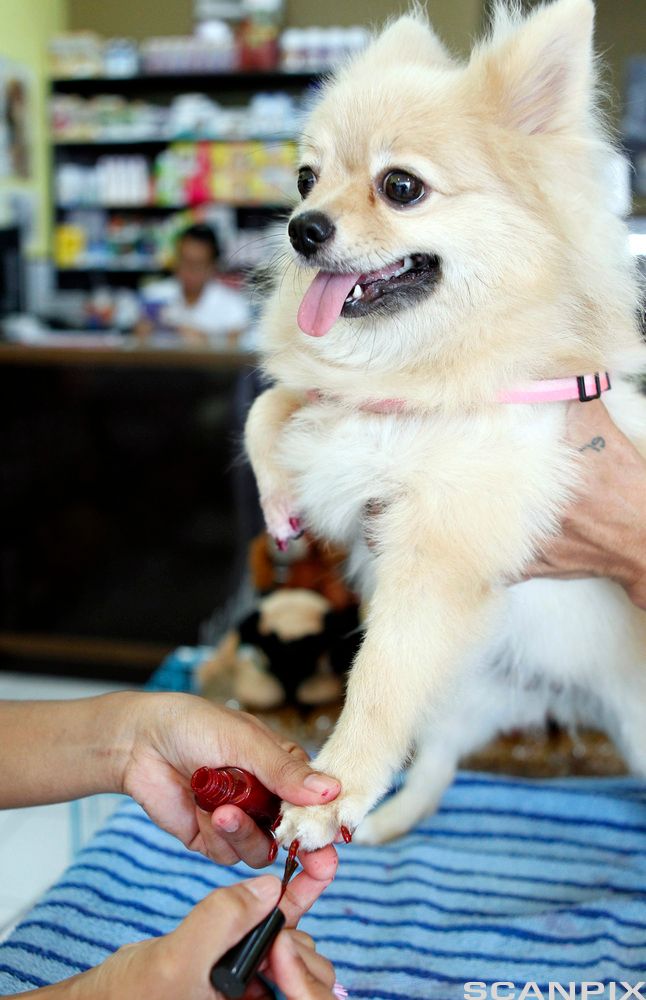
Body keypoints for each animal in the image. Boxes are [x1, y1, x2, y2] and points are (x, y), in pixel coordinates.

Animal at [245, 0, 646, 850]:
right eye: (305, 178)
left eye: (401, 187)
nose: (301, 227)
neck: (415, 371)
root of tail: (553, 700)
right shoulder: (340, 417)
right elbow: (270, 405)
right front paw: (278, 504)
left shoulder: (437, 551)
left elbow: (378, 681)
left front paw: (332, 791)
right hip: (464, 696)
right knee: (436, 762)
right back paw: (391, 821)